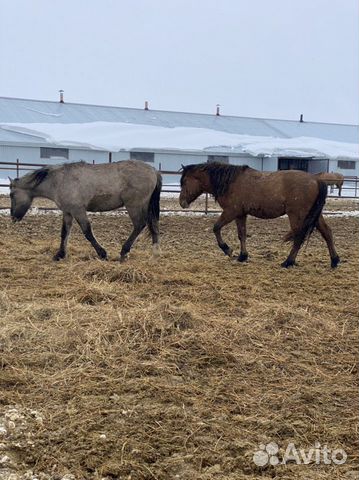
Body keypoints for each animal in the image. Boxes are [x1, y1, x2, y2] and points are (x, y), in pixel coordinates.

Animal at [9, 159, 162, 260]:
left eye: (11, 195)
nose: (13, 217)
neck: (59, 181)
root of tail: (153, 170)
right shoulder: (68, 212)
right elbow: (64, 233)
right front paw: (60, 255)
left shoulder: (78, 210)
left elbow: (87, 232)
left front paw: (102, 253)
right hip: (145, 206)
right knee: (153, 225)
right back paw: (155, 253)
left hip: (134, 206)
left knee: (139, 225)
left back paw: (124, 251)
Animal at [180, 163, 340, 268]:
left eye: (185, 181)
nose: (182, 202)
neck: (230, 182)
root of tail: (317, 180)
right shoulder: (240, 215)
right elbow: (242, 234)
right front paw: (242, 256)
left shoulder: (231, 212)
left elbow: (216, 228)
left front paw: (227, 249)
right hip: (314, 215)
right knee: (327, 233)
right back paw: (334, 261)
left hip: (297, 215)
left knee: (299, 237)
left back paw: (288, 262)